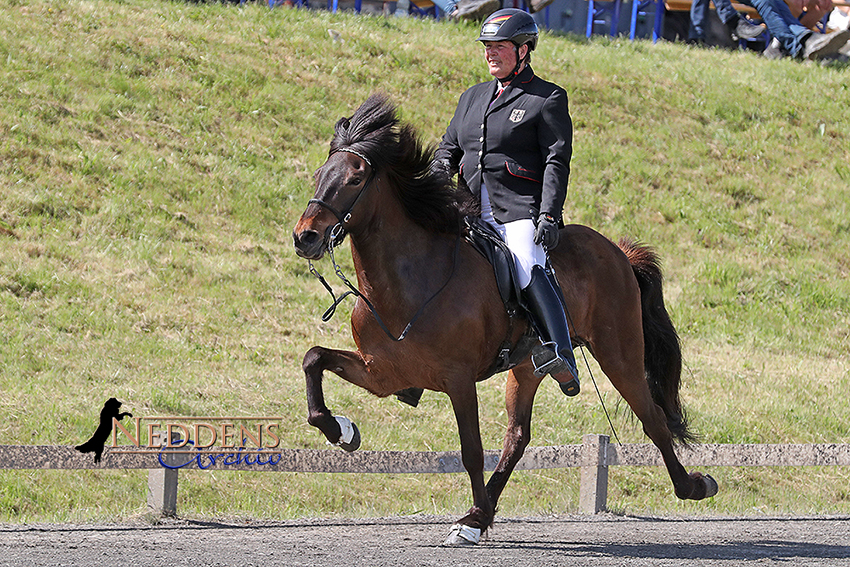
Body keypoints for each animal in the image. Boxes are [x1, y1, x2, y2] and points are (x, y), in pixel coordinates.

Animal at [294, 94, 716, 544]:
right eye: (320, 175)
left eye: (355, 180)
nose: (305, 237)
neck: (406, 280)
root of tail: (618, 251)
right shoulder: (381, 373)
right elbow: (313, 359)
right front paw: (341, 431)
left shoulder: (457, 379)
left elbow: (471, 450)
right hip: (528, 366)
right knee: (517, 436)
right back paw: (480, 514)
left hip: (619, 355)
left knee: (652, 418)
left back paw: (693, 485)